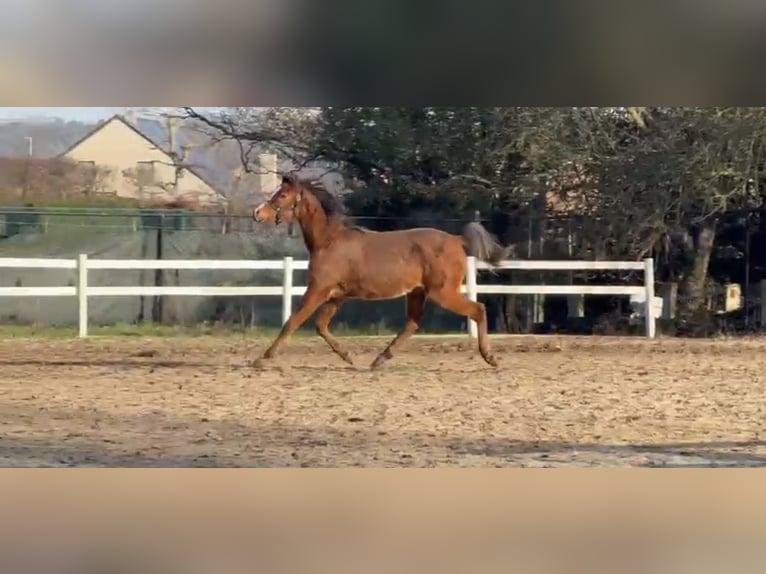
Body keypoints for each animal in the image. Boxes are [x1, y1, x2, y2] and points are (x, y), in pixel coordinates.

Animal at [251, 173, 512, 369]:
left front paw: (262, 359)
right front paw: (348, 356)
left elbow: (292, 321)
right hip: (417, 292)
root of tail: (457, 240)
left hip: (442, 292)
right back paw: (379, 359)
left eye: (282, 195)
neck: (328, 241)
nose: (257, 213)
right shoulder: (336, 296)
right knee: (412, 323)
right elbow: (321, 326)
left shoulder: (317, 290)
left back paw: (490, 357)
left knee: (478, 309)